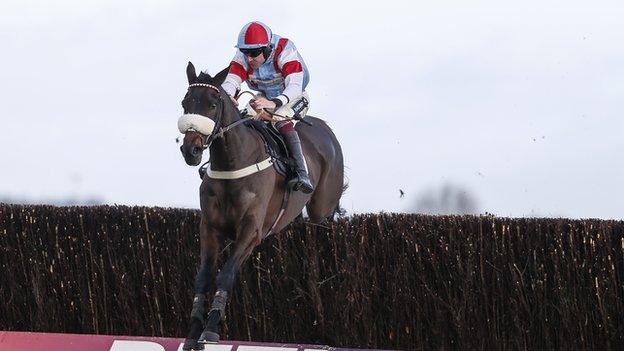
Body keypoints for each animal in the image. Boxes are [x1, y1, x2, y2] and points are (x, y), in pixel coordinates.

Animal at [178, 62, 346, 350]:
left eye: (212, 104)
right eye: (185, 103)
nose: (191, 150)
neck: (233, 163)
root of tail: (326, 129)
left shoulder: (251, 231)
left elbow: (225, 274)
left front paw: (210, 329)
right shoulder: (209, 227)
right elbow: (203, 276)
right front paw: (193, 331)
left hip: (322, 210)